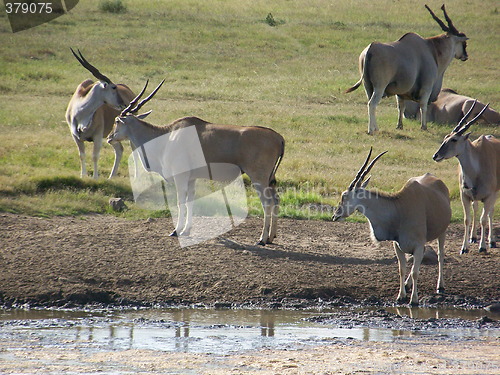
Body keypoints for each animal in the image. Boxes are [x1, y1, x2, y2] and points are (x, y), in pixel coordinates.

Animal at [67, 48, 137, 179]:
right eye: (113, 87)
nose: (123, 104)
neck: (80, 113)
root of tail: (130, 91)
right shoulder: (76, 136)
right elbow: (82, 155)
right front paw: (83, 176)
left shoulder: (98, 136)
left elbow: (95, 156)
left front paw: (95, 177)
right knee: (119, 149)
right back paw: (111, 177)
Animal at [106, 81, 286, 247]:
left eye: (117, 121)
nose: (109, 137)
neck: (167, 137)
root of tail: (278, 138)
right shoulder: (191, 179)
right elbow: (190, 200)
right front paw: (187, 230)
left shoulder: (180, 177)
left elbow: (181, 202)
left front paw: (176, 230)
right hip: (269, 180)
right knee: (275, 200)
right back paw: (271, 237)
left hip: (258, 178)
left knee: (267, 203)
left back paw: (262, 239)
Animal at [334, 148, 452, 306]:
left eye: (344, 196)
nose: (335, 215)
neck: (399, 208)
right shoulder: (398, 246)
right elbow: (402, 269)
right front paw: (400, 296)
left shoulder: (418, 245)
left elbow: (415, 272)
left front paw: (414, 300)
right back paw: (408, 285)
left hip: (442, 232)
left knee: (440, 255)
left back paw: (440, 286)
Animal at [348, 4, 468, 135]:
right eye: (464, 44)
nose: (465, 56)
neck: (432, 49)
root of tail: (370, 48)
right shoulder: (427, 87)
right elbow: (423, 106)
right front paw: (424, 126)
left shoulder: (400, 94)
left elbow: (401, 107)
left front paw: (399, 126)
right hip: (380, 87)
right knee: (372, 104)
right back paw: (371, 130)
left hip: (368, 86)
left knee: (370, 102)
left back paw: (375, 128)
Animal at [432, 103, 498, 254]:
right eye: (445, 137)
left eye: (454, 139)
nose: (435, 156)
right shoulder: (465, 196)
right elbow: (467, 219)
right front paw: (464, 247)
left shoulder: (489, 196)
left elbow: (484, 219)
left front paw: (482, 246)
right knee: (476, 208)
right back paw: (473, 237)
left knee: (490, 212)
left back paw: (491, 241)